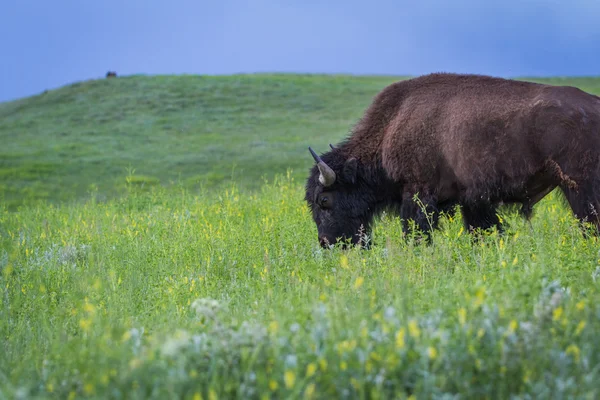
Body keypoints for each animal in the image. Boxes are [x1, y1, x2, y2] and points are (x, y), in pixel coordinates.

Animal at [304, 72, 600, 247]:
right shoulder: (472, 200)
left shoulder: (418, 193)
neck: (393, 124)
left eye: (324, 200)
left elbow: (416, 233)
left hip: (579, 188)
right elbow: (483, 231)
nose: (326, 242)